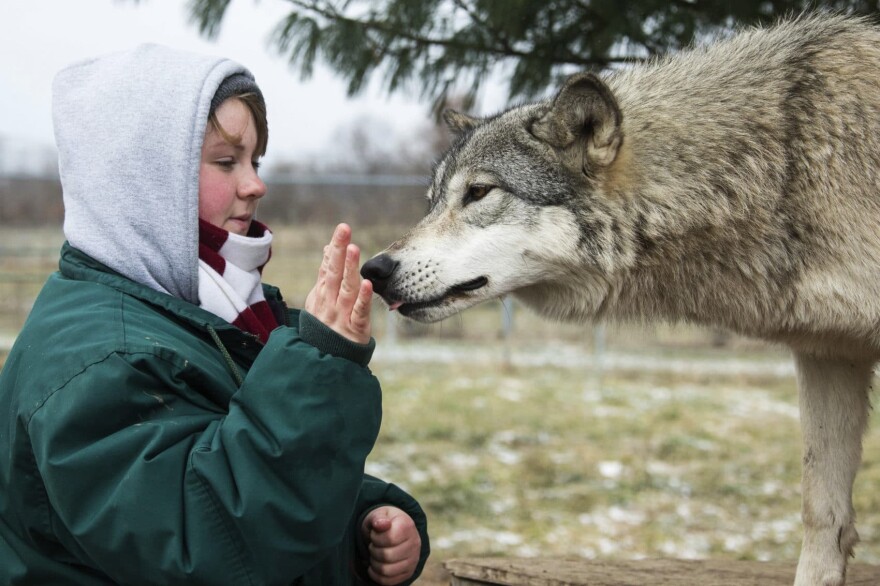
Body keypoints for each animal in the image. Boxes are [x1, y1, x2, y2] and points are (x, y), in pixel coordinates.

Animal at [360, 13, 880, 586]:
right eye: (433, 201)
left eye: (478, 193)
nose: (375, 270)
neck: (784, 163)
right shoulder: (828, 352)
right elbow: (821, 510)